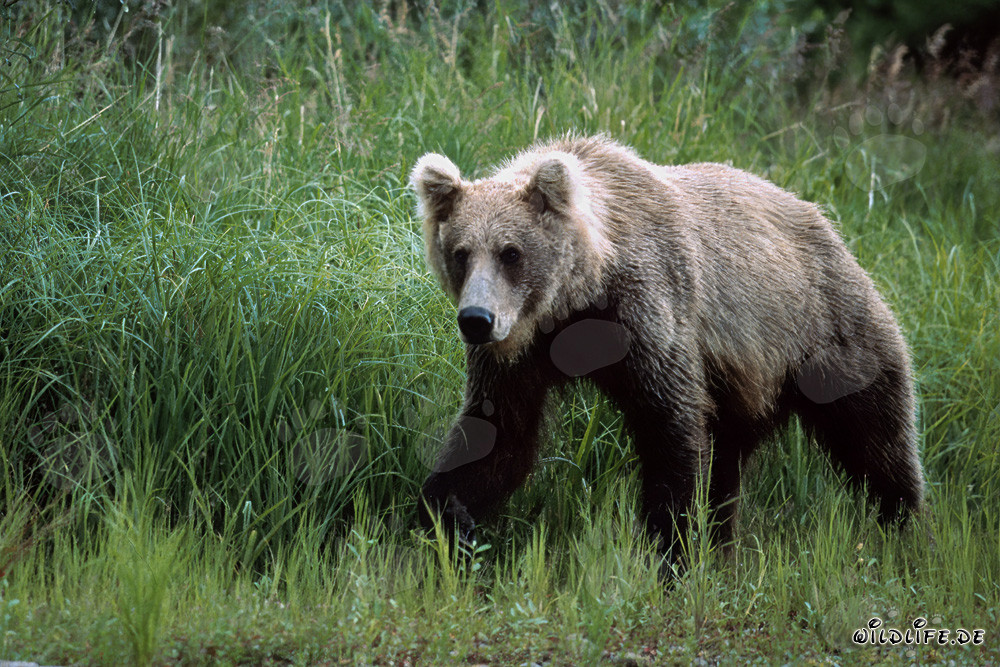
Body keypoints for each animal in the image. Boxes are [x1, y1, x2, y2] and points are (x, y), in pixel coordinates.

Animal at [409, 134, 923, 557]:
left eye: (511, 253)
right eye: (460, 253)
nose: (477, 320)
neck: (577, 300)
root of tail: (828, 225)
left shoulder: (648, 314)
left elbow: (671, 429)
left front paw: (668, 547)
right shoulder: (522, 354)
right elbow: (497, 436)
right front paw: (445, 518)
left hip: (828, 337)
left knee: (876, 437)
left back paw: (905, 528)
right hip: (745, 386)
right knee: (728, 463)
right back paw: (722, 542)